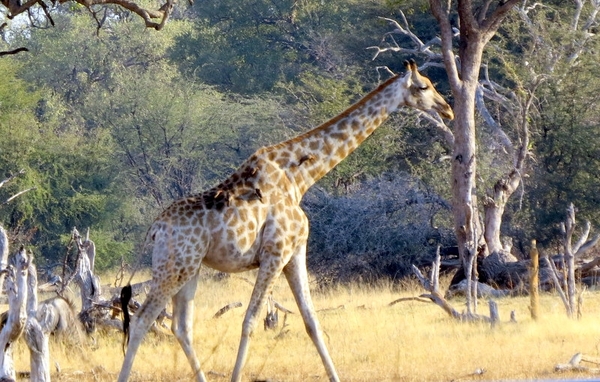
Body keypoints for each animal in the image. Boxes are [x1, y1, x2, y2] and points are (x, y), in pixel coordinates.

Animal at [118, 59, 454, 382]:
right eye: (424, 86)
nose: (447, 110)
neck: (300, 178)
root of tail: (155, 229)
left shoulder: (295, 253)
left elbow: (311, 321)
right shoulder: (275, 252)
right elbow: (250, 320)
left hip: (191, 268)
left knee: (180, 326)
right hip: (174, 267)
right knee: (142, 319)